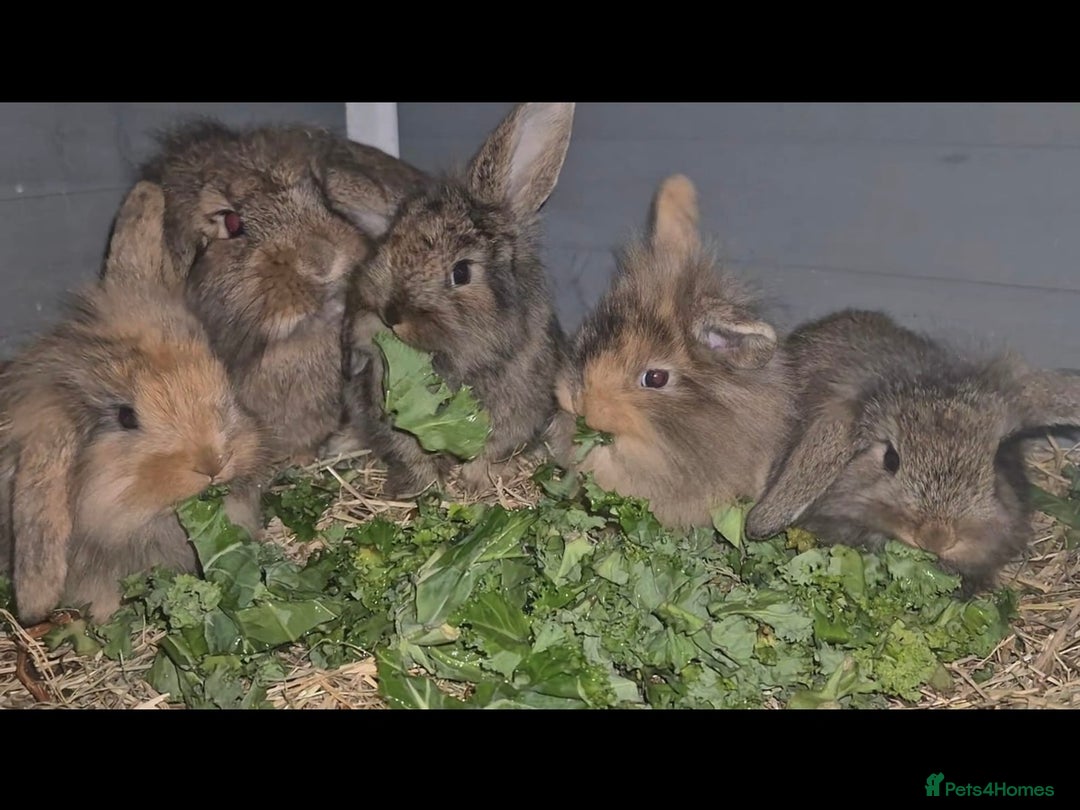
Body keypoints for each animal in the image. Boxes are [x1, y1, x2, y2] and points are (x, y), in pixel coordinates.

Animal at [338, 102, 576, 496]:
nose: (391, 314)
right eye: (388, 242)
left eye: (461, 272)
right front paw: (422, 488)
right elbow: (413, 457)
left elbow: (488, 454)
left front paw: (475, 485)